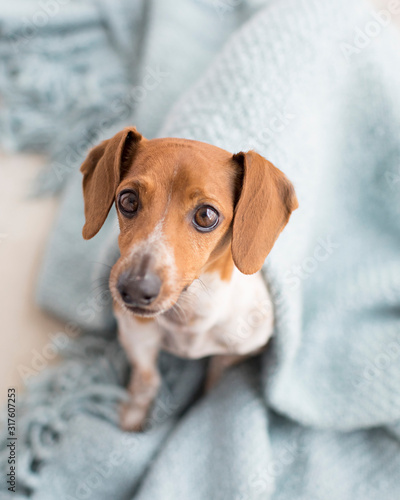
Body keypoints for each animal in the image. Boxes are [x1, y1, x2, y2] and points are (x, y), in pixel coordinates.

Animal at [79, 127, 296, 432]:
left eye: (206, 215)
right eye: (128, 200)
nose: (134, 288)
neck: (189, 316)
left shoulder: (241, 348)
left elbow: (213, 381)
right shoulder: (136, 334)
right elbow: (147, 379)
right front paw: (134, 413)